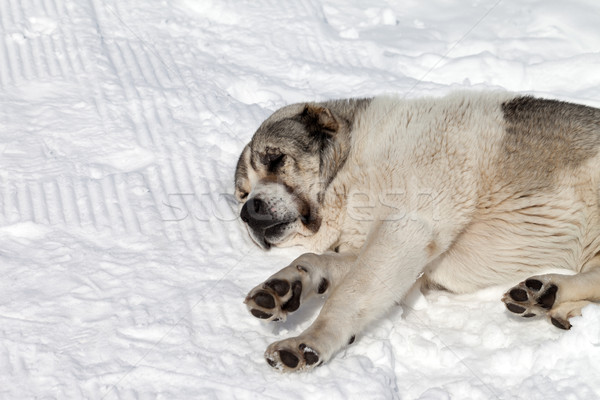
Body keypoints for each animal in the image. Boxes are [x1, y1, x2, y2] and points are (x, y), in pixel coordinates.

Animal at [233, 91, 600, 372]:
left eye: (275, 159)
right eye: (241, 193)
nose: (247, 211)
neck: (354, 167)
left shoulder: (404, 230)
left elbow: (349, 292)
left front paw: (308, 342)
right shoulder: (404, 260)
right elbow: (318, 260)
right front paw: (286, 286)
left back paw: (549, 293)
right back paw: (548, 298)